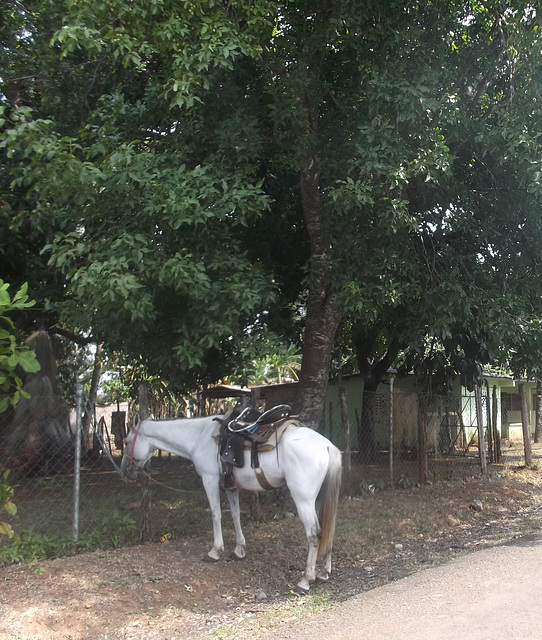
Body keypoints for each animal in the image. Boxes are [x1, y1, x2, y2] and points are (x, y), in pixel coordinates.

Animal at [120, 412, 342, 592]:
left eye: (126, 440)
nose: (125, 471)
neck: (199, 437)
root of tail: (327, 445)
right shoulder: (230, 485)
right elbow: (235, 515)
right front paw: (239, 549)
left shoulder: (209, 479)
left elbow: (215, 513)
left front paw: (215, 551)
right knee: (329, 529)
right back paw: (324, 572)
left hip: (303, 500)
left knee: (314, 533)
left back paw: (305, 580)